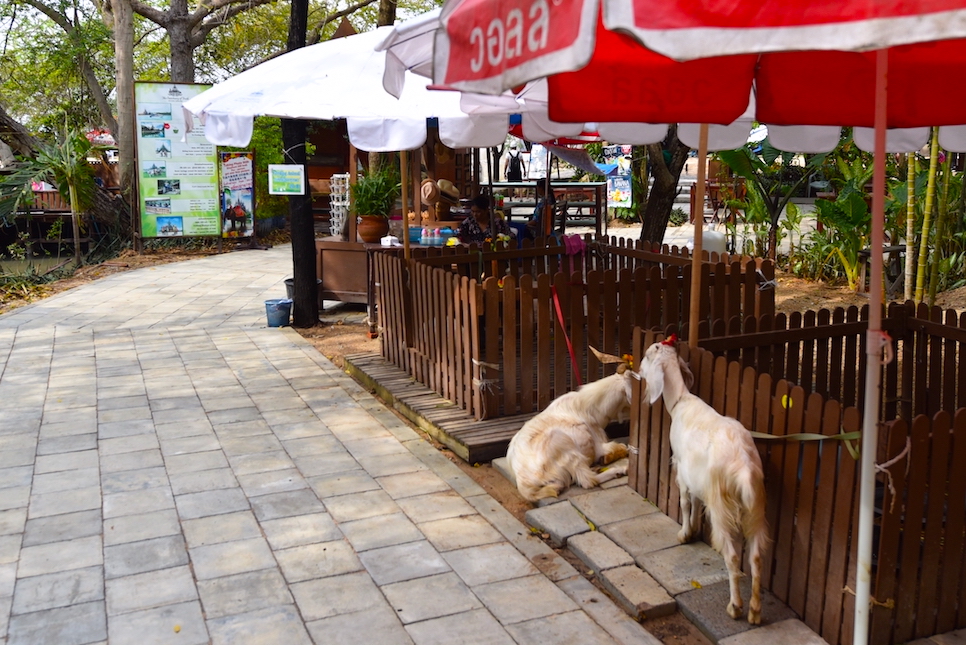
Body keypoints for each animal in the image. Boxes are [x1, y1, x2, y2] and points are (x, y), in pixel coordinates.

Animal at [510, 352, 640, 504]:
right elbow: (622, 447)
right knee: (588, 481)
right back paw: (621, 470)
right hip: (565, 448)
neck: (591, 408)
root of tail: (523, 481)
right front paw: (609, 458)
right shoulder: (597, 446)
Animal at [644, 338, 772, 624]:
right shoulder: (696, 476)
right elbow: (694, 500)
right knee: (757, 556)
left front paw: (684, 534)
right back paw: (755, 611)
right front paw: (691, 529)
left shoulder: (682, 468)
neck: (681, 402)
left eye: (647, 355)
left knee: (733, 555)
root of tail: (743, 467)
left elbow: (684, 502)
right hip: (756, 505)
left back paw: (735, 607)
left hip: (722, 504)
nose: (637, 369)